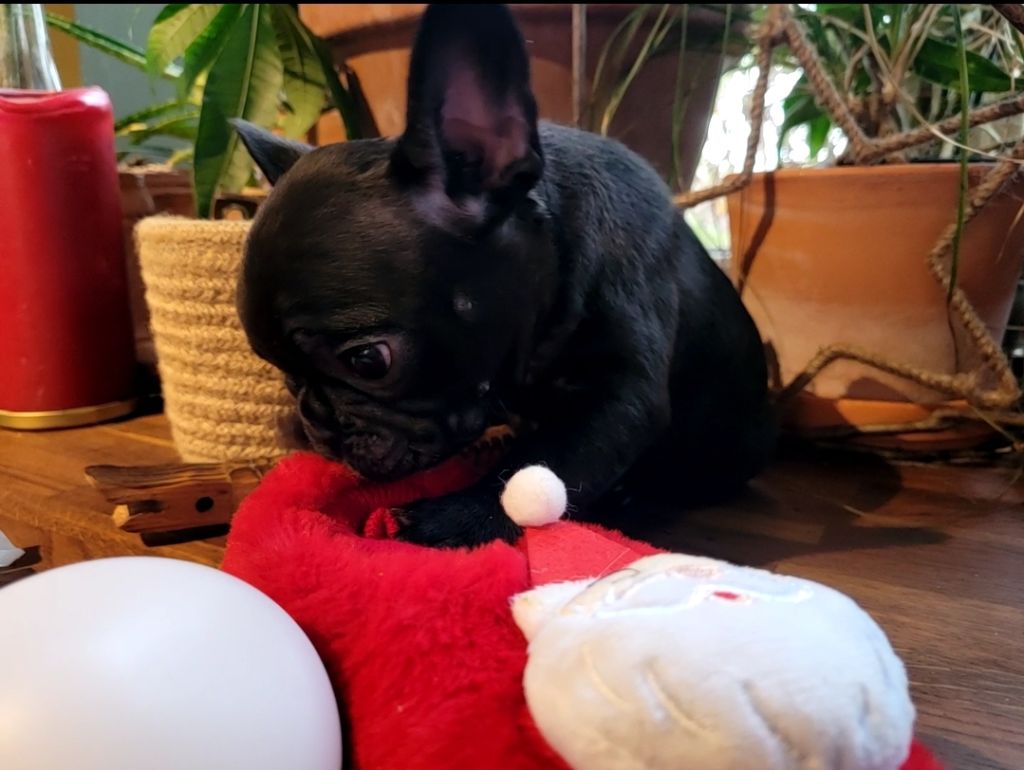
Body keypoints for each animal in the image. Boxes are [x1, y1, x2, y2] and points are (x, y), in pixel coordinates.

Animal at [233, 4, 777, 548]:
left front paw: (450, 518)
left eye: (368, 361)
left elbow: (548, 463)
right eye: (281, 373)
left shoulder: (620, 392)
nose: (317, 424)